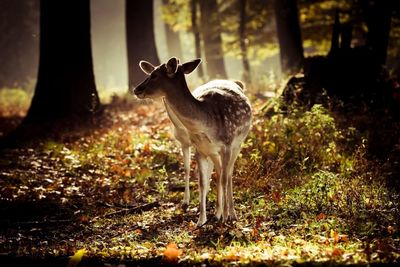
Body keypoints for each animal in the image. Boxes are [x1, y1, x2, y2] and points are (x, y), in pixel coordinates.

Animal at [130, 58, 252, 226]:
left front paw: (227, 217)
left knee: (228, 174)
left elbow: (224, 179)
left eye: (154, 75)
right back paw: (218, 213)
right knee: (219, 171)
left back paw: (231, 213)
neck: (206, 122)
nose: (136, 89)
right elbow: (202, 182)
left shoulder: (227, 144)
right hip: (212, 151)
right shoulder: (199, 148)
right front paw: (201, 220)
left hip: (237, 143)